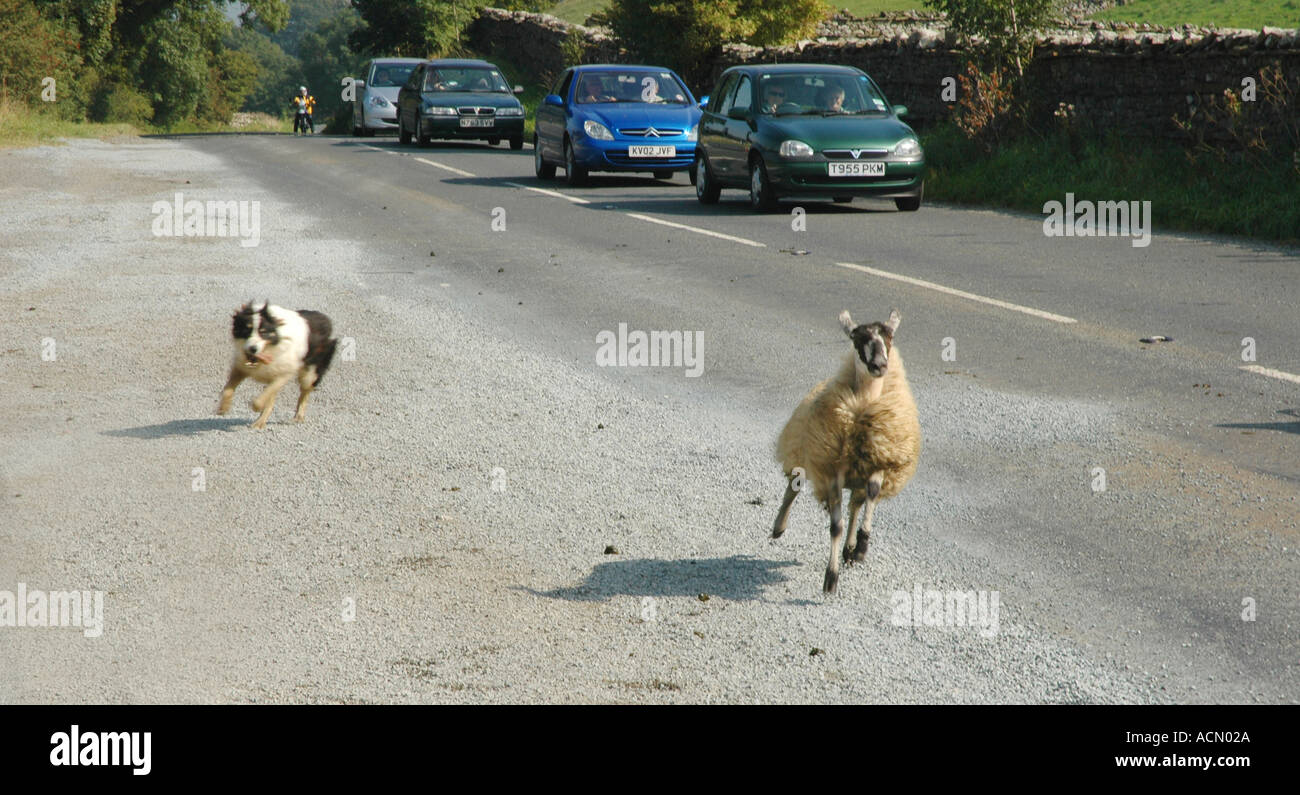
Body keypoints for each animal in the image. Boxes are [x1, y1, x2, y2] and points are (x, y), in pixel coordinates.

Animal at [769, 307, 925, 592]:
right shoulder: (832, 471)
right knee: (794, 486)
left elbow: (871, 495)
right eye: (857, 338)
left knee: (856, 504)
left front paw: (861, 546)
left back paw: (851, 548)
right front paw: (831, 578)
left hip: (855, 475)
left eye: (889, 337)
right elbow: (835, 526)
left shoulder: (878, 462)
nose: (879, 365)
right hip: (803, 451)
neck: (862, 405)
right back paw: (778, 527)